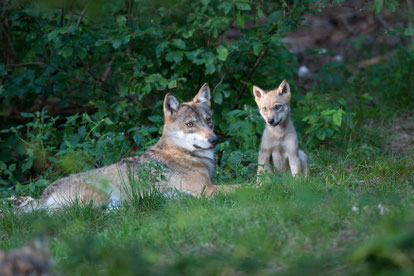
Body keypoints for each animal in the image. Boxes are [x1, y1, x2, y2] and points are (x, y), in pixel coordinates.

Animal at [34, 83, 231, 208]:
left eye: (208, 120)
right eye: (190, 124)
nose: (214, 140)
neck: (182, 153)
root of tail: (43, 195)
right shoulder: (208, 190)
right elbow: (238, 188)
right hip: (99, 197)